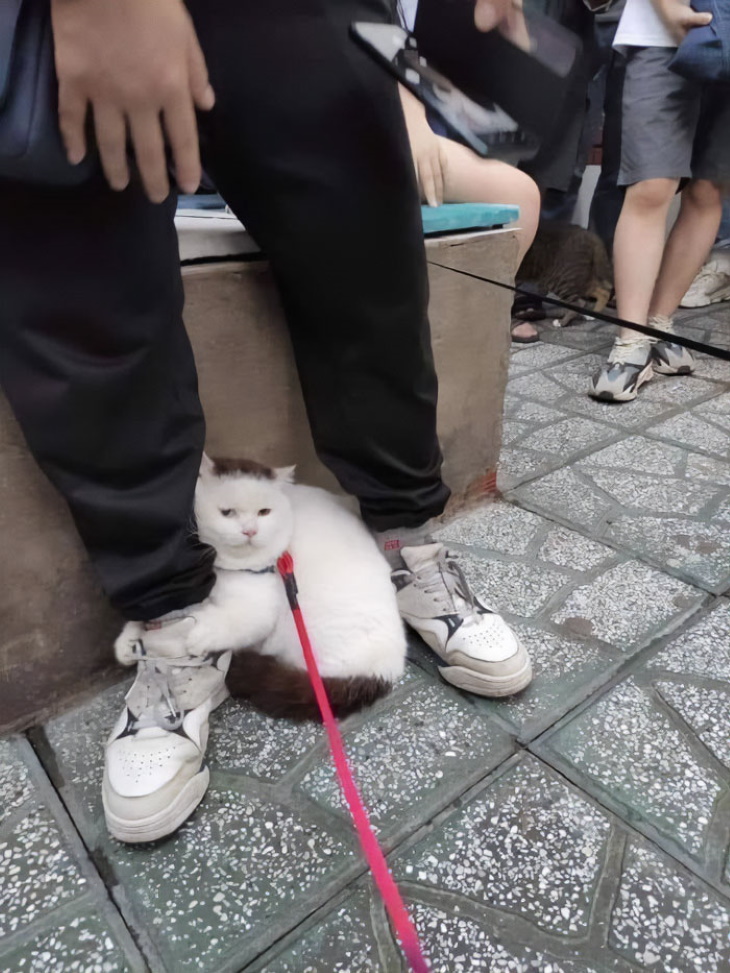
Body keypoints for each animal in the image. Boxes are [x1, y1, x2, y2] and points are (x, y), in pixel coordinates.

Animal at [116, 452, 406, 716]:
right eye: (227, 512)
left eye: (264, 512)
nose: (250, 530)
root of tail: (383, 672)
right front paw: (128, 642)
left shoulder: (258, 609)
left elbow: (221, 623)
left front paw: (187, 639)